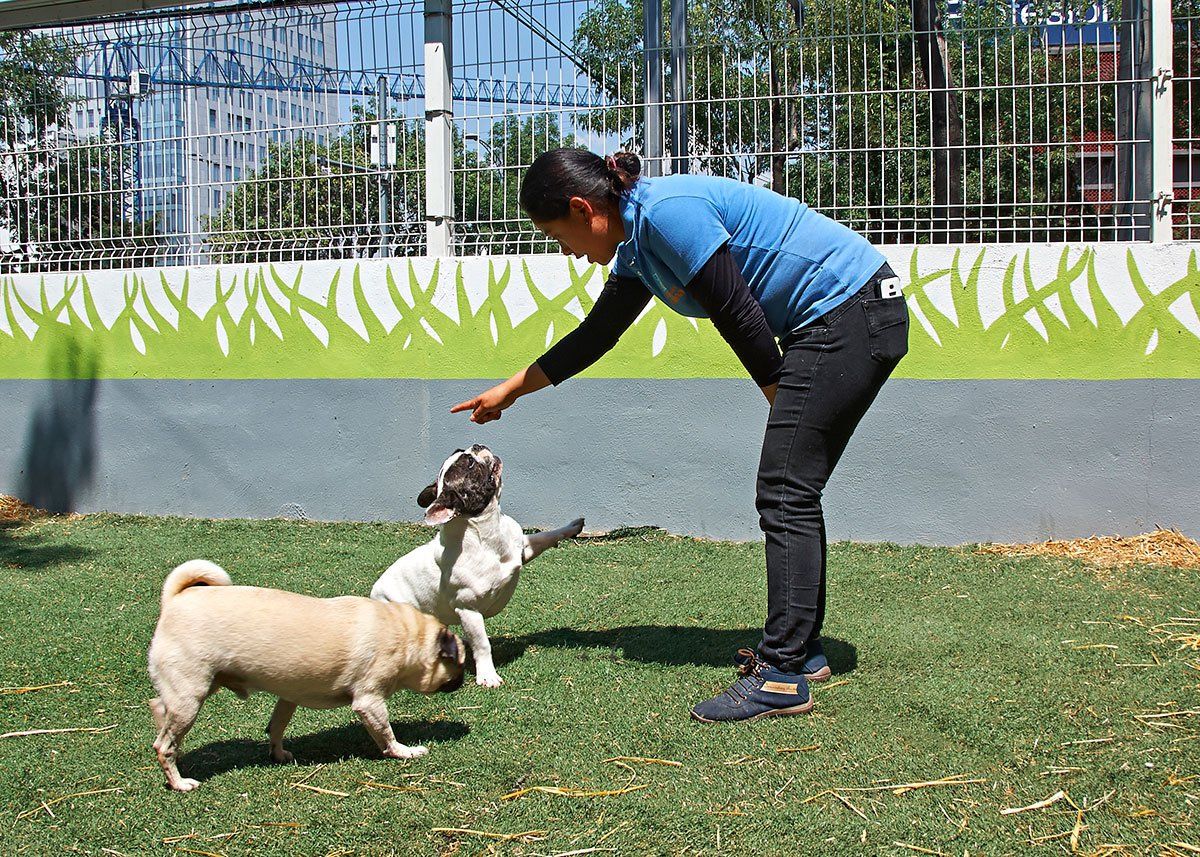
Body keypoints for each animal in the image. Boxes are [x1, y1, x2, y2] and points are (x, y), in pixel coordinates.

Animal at [369, 444, 585, 686]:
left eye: (462, 451)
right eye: (469, 464)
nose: (477, 446)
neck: (487, 533)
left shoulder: (523, 549)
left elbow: (545, 537)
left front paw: (571, 527)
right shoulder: (469, 609)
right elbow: (482, 644)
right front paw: (487, 675)